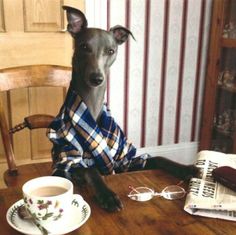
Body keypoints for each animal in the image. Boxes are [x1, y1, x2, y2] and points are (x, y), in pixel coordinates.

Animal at [47, 6, 198, 213]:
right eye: (84, 47)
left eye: (110, 51)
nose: (97, 78)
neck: (91, 106)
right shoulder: (67, 163)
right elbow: (89, 169)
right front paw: (107, 195)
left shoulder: (125, 161)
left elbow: (159, 158)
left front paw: (187, 168)